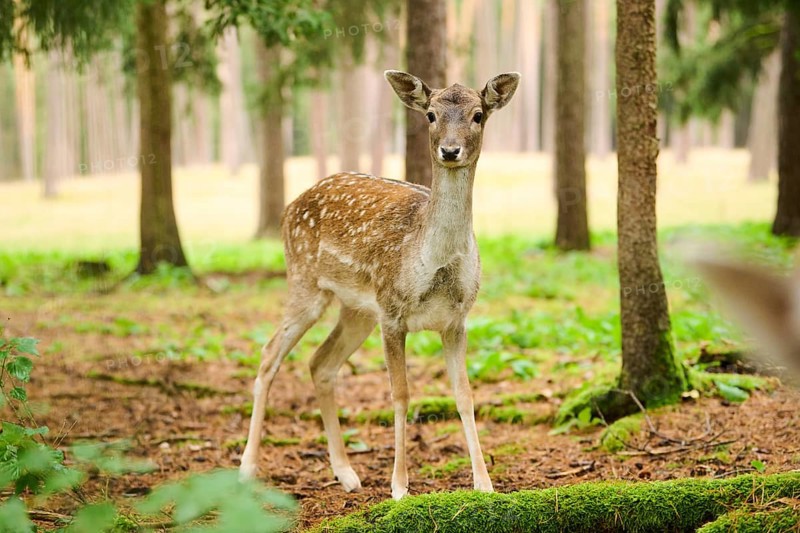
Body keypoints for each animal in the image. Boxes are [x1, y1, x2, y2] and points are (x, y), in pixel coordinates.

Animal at [238, 70, 520, 500]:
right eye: (431, 114)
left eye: (478, 115)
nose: (450, 150)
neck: (435, 262)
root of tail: (290, 208)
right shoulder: (392, 311)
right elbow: (400, 395)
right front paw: (400, 487)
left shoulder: (457, 319)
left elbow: (466, 395)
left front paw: (485, 485)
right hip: (305, 283)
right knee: (270, 354)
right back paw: (247, 468)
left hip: (357, 310)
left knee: (320, 362)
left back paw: (346, 473)